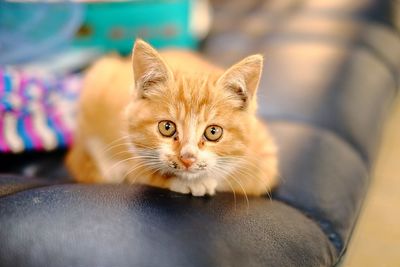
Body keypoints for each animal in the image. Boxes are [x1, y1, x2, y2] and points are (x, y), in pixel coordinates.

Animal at [65, 39, 278, 197]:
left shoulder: (265, 160)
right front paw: (189, 182)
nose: (187, 158)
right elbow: (145, 173)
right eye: (166, 127)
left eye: (213, 132)